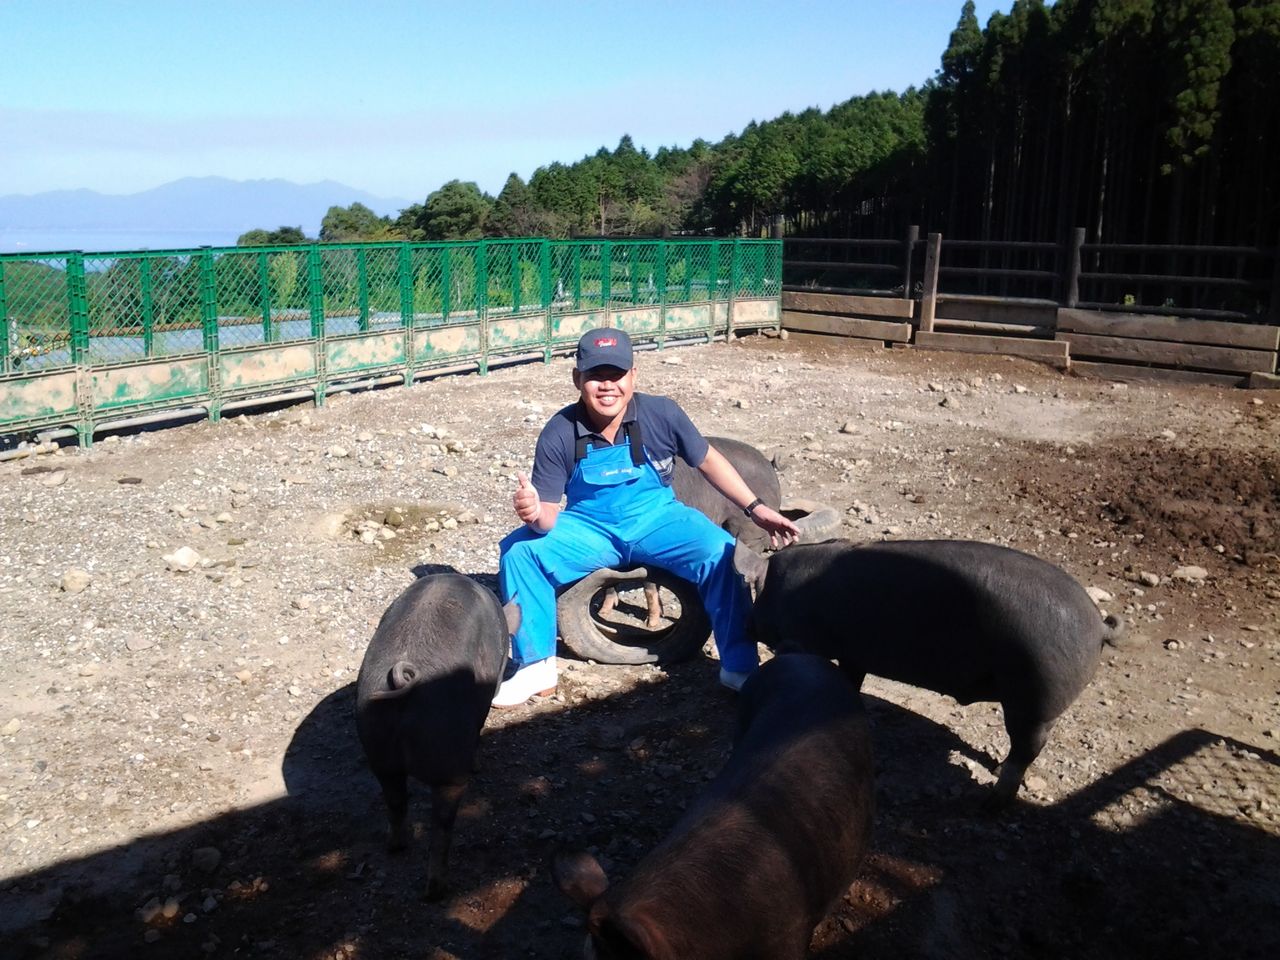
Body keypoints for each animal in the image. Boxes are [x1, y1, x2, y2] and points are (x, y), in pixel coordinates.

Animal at [354, 573, 518, 900]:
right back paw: (437, 890)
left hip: (376, 744)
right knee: (441, 825)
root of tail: (403, 678)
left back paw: (395, 847)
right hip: (447, 756)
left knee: (395, 801)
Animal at [733, 538, 1125, 806]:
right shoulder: (854, 655)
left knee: (1027, 750)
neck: (784, 592)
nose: (746, 626)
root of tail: (1098, 626)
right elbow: (851, 682)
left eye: (754, 594)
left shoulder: (800, 639)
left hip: (1034, 699)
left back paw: (991, 802)